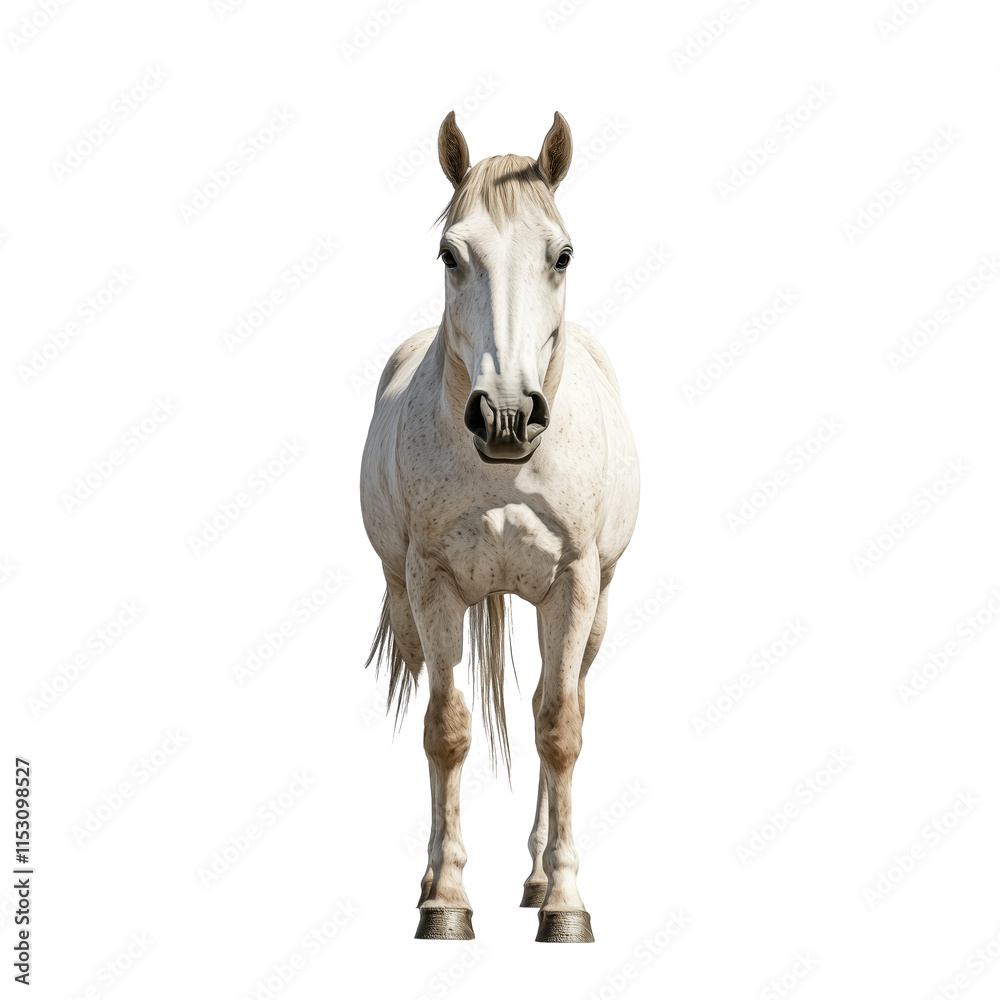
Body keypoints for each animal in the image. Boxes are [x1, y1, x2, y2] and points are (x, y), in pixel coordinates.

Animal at [359, 111, 640, 943]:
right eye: (451, 254)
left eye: (562, 254)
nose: (507, 417)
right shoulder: (430, 584)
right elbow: (445, 729)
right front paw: (446, 900)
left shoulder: (577, 584)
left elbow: (559, 727)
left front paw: (566, 904)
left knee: (557, 700)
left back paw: (540, 876)